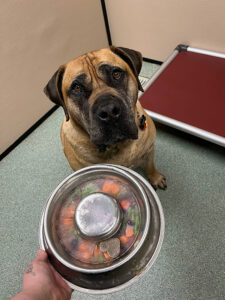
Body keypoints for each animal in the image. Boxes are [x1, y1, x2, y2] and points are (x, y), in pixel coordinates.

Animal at [44, 45, 167, 189]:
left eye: (116, 74)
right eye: (77, 88)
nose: (109, 111)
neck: (117, 145)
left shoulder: (149, 150)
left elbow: (150, 166)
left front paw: (155, 177)